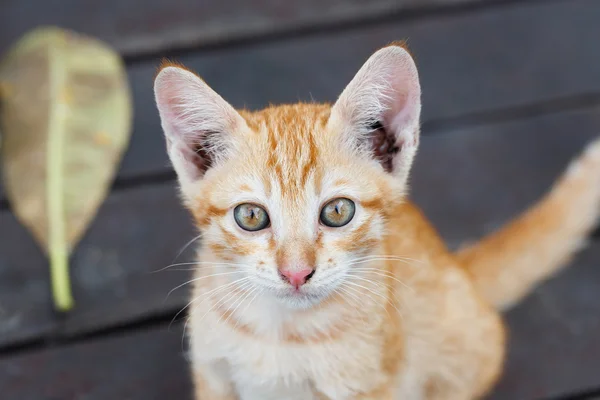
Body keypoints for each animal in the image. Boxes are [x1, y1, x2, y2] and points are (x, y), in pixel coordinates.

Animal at [152, 43, 600, 400]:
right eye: (251, 216)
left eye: (337, 211)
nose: (296, 273)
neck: (282, 334)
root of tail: (458, 268)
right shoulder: (213, 376)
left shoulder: (372, 387)